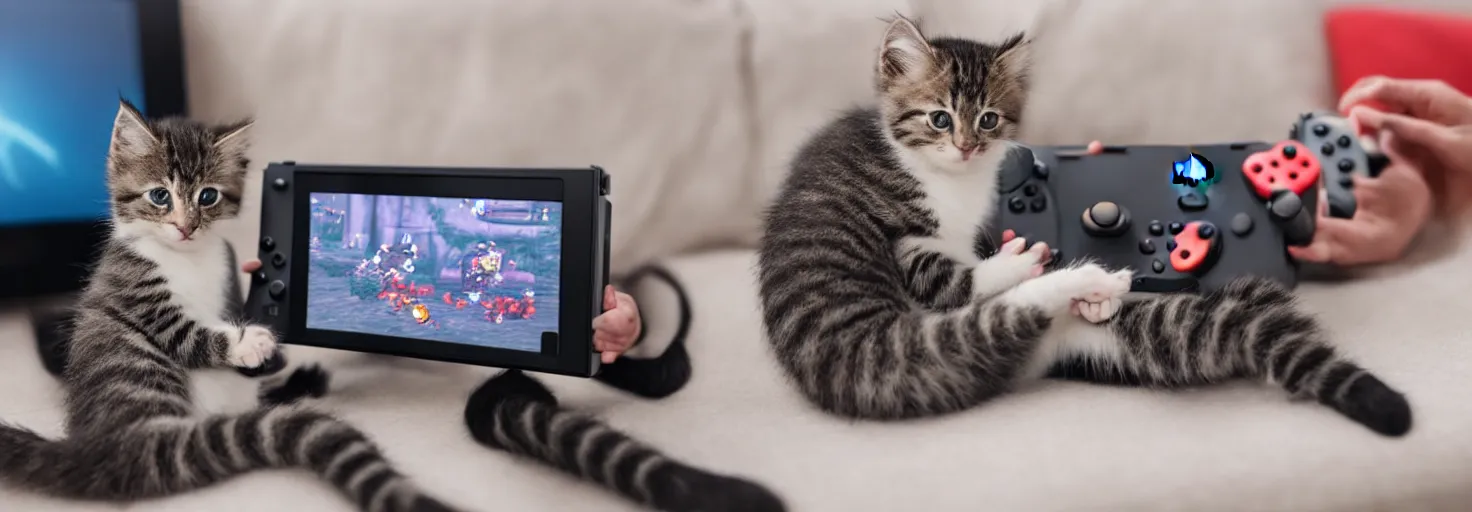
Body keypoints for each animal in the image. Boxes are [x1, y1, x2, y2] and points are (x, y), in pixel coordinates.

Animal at [0, 100, 456, 512]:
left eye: (208, 196)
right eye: (160, 196)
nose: (186, 226)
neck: (188, 258)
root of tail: (92, 453)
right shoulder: (141, 294)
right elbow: (187, 334)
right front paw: (250, 342)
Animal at [759, 18, 1413, 438]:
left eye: (988, 120)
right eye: (940, 119)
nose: (968, 146)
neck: (944, 174)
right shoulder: (906, 239)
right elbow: (960, 279)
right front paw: (1015, 258)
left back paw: (1099, 296)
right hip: (908, 351)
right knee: (1000, 311)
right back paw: (1078, 276)